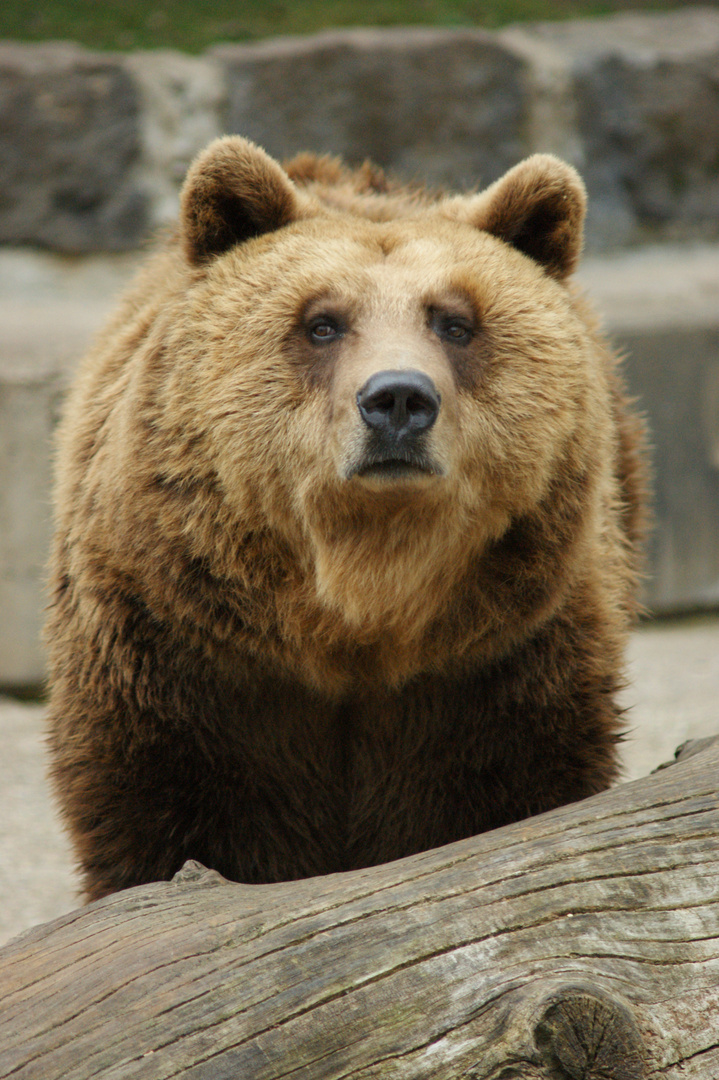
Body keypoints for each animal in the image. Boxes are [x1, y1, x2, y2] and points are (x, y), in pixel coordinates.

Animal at [47, 139, 647, 907]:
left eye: (454, 322)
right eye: (322, 323)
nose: (397, 399)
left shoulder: (506, 662)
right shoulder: (176, 656)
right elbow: (158, 819)